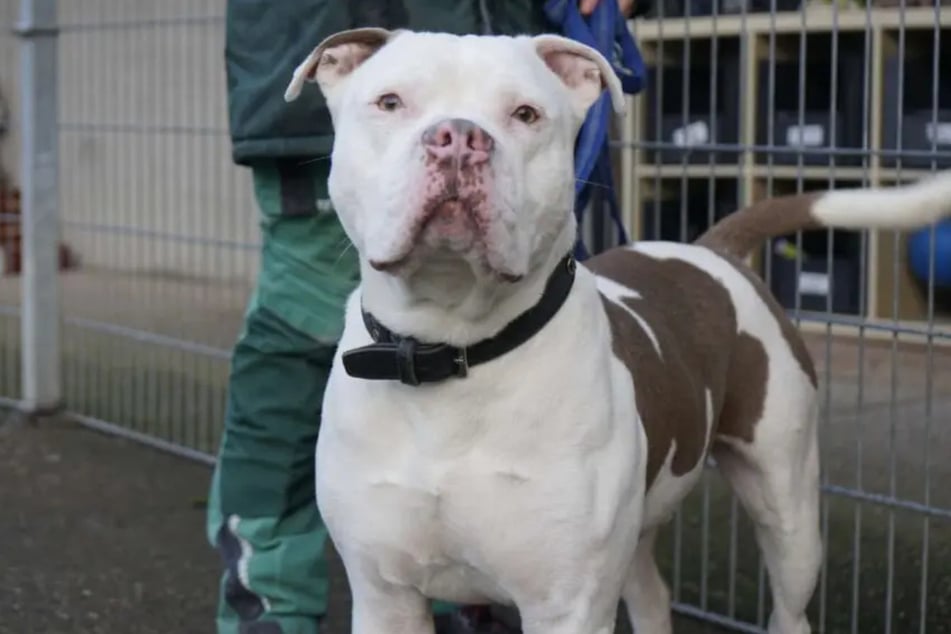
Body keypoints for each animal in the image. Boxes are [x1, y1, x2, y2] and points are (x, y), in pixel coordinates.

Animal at [282, 27, 951, 632]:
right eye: (390, 102)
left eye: (526, 114)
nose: (459, 139)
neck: (451, 349)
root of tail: (714, 249)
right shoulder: (384, 597)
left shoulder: (567, 606)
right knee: (652, 596)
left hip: (787, 508)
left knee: (790, 605)